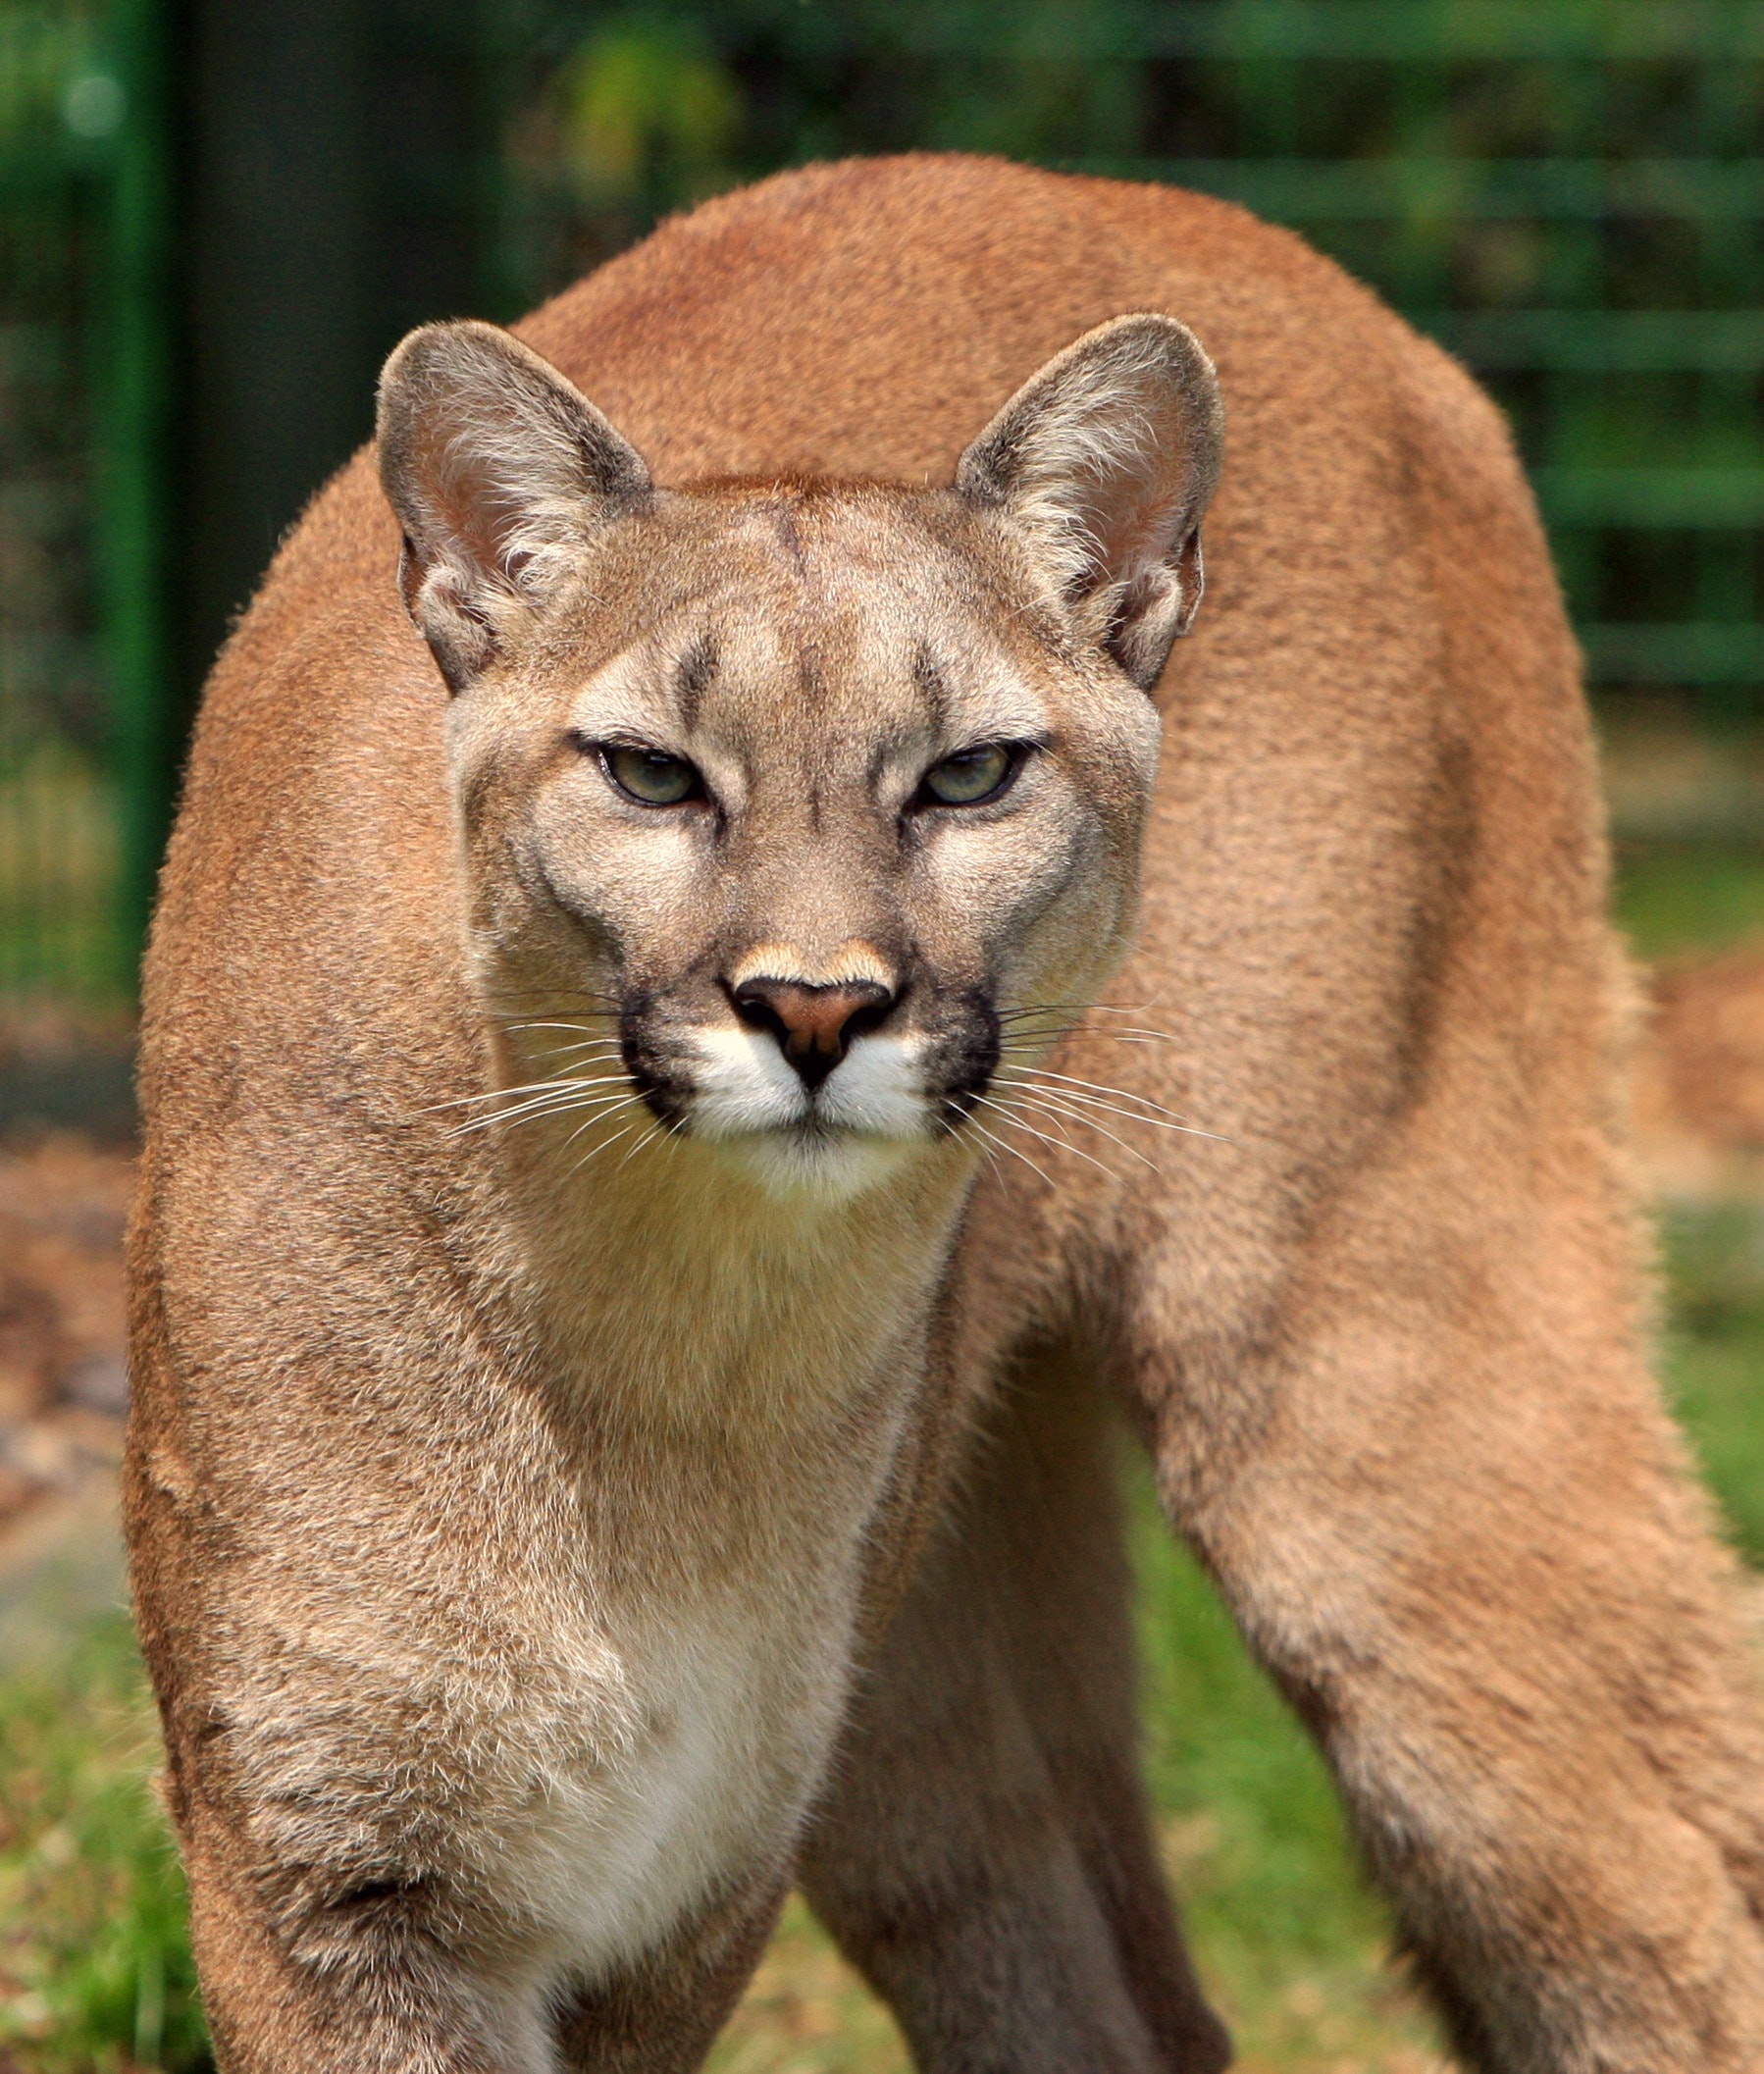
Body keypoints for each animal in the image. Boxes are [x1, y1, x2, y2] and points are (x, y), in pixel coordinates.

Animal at [126, 153, 1764, 2072]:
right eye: (650, 774)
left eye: (969, 773)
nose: (816, 1003)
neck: (667, 1347)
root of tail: (1208, 217)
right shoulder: (334, 1880)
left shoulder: (675, 1905)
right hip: (919, 1666)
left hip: (1368, 1390)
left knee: (1654, 1874)